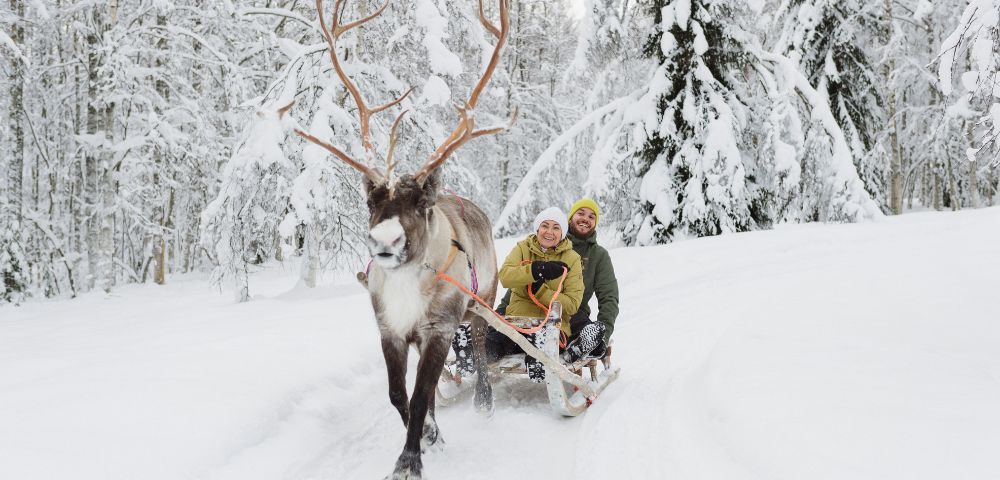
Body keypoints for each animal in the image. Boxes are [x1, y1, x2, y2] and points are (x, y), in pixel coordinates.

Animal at [279, 0, 511, 478]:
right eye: (371, 201)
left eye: (421, 201)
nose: (385, 240)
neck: (407, 284)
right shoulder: (389, 328)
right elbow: (399, 395)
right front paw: (430, 436)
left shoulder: (439, 328)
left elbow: (421, 395)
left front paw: (408, 461)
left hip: (482, 300)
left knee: (481, 349)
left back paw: (484, 402)